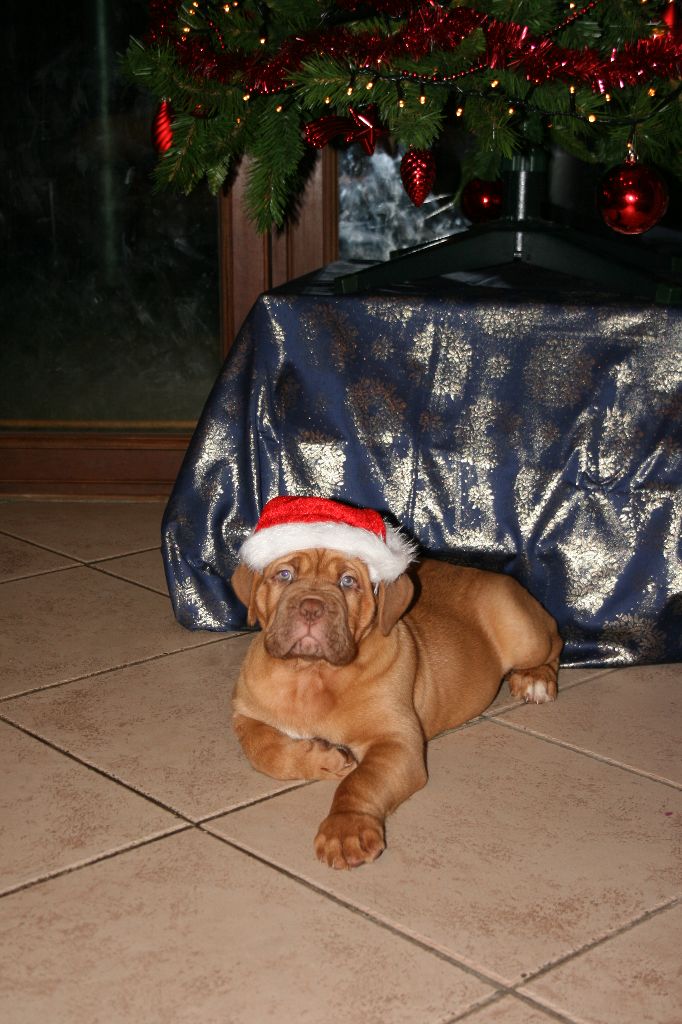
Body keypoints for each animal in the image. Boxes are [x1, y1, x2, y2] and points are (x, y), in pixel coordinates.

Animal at [231, 497, 562, 870]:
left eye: (348, 581)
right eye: (284, 575)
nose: (311, 607)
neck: (310, 675)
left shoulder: (396, 742)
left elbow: (360, 782)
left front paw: (345, 828)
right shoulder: (246, 713)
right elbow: (263, 750)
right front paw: (323, 759)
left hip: (524, 633)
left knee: (555, 640)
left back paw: (535, 678)